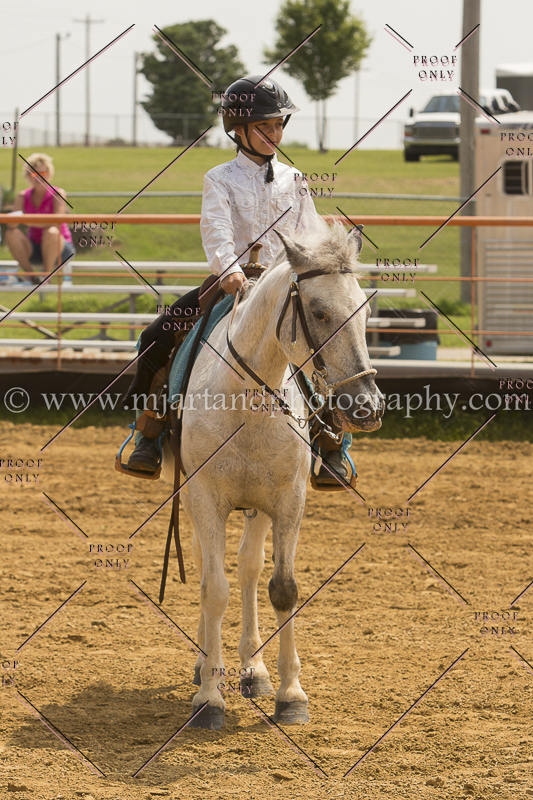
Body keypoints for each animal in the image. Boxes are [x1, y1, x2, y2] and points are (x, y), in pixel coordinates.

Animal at [161, 218, 385, 729]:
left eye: (365, 312)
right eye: (319, 312)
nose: (366, 406)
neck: (245, 400)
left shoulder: (287, 500)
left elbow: (282, 588)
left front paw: (289, 693)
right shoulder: (205, 497)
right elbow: (213, 589)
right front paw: (209, 697)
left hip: (258, 508)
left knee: (248, 568)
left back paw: (253, 669)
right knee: (210, 569)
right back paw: (207, 664)